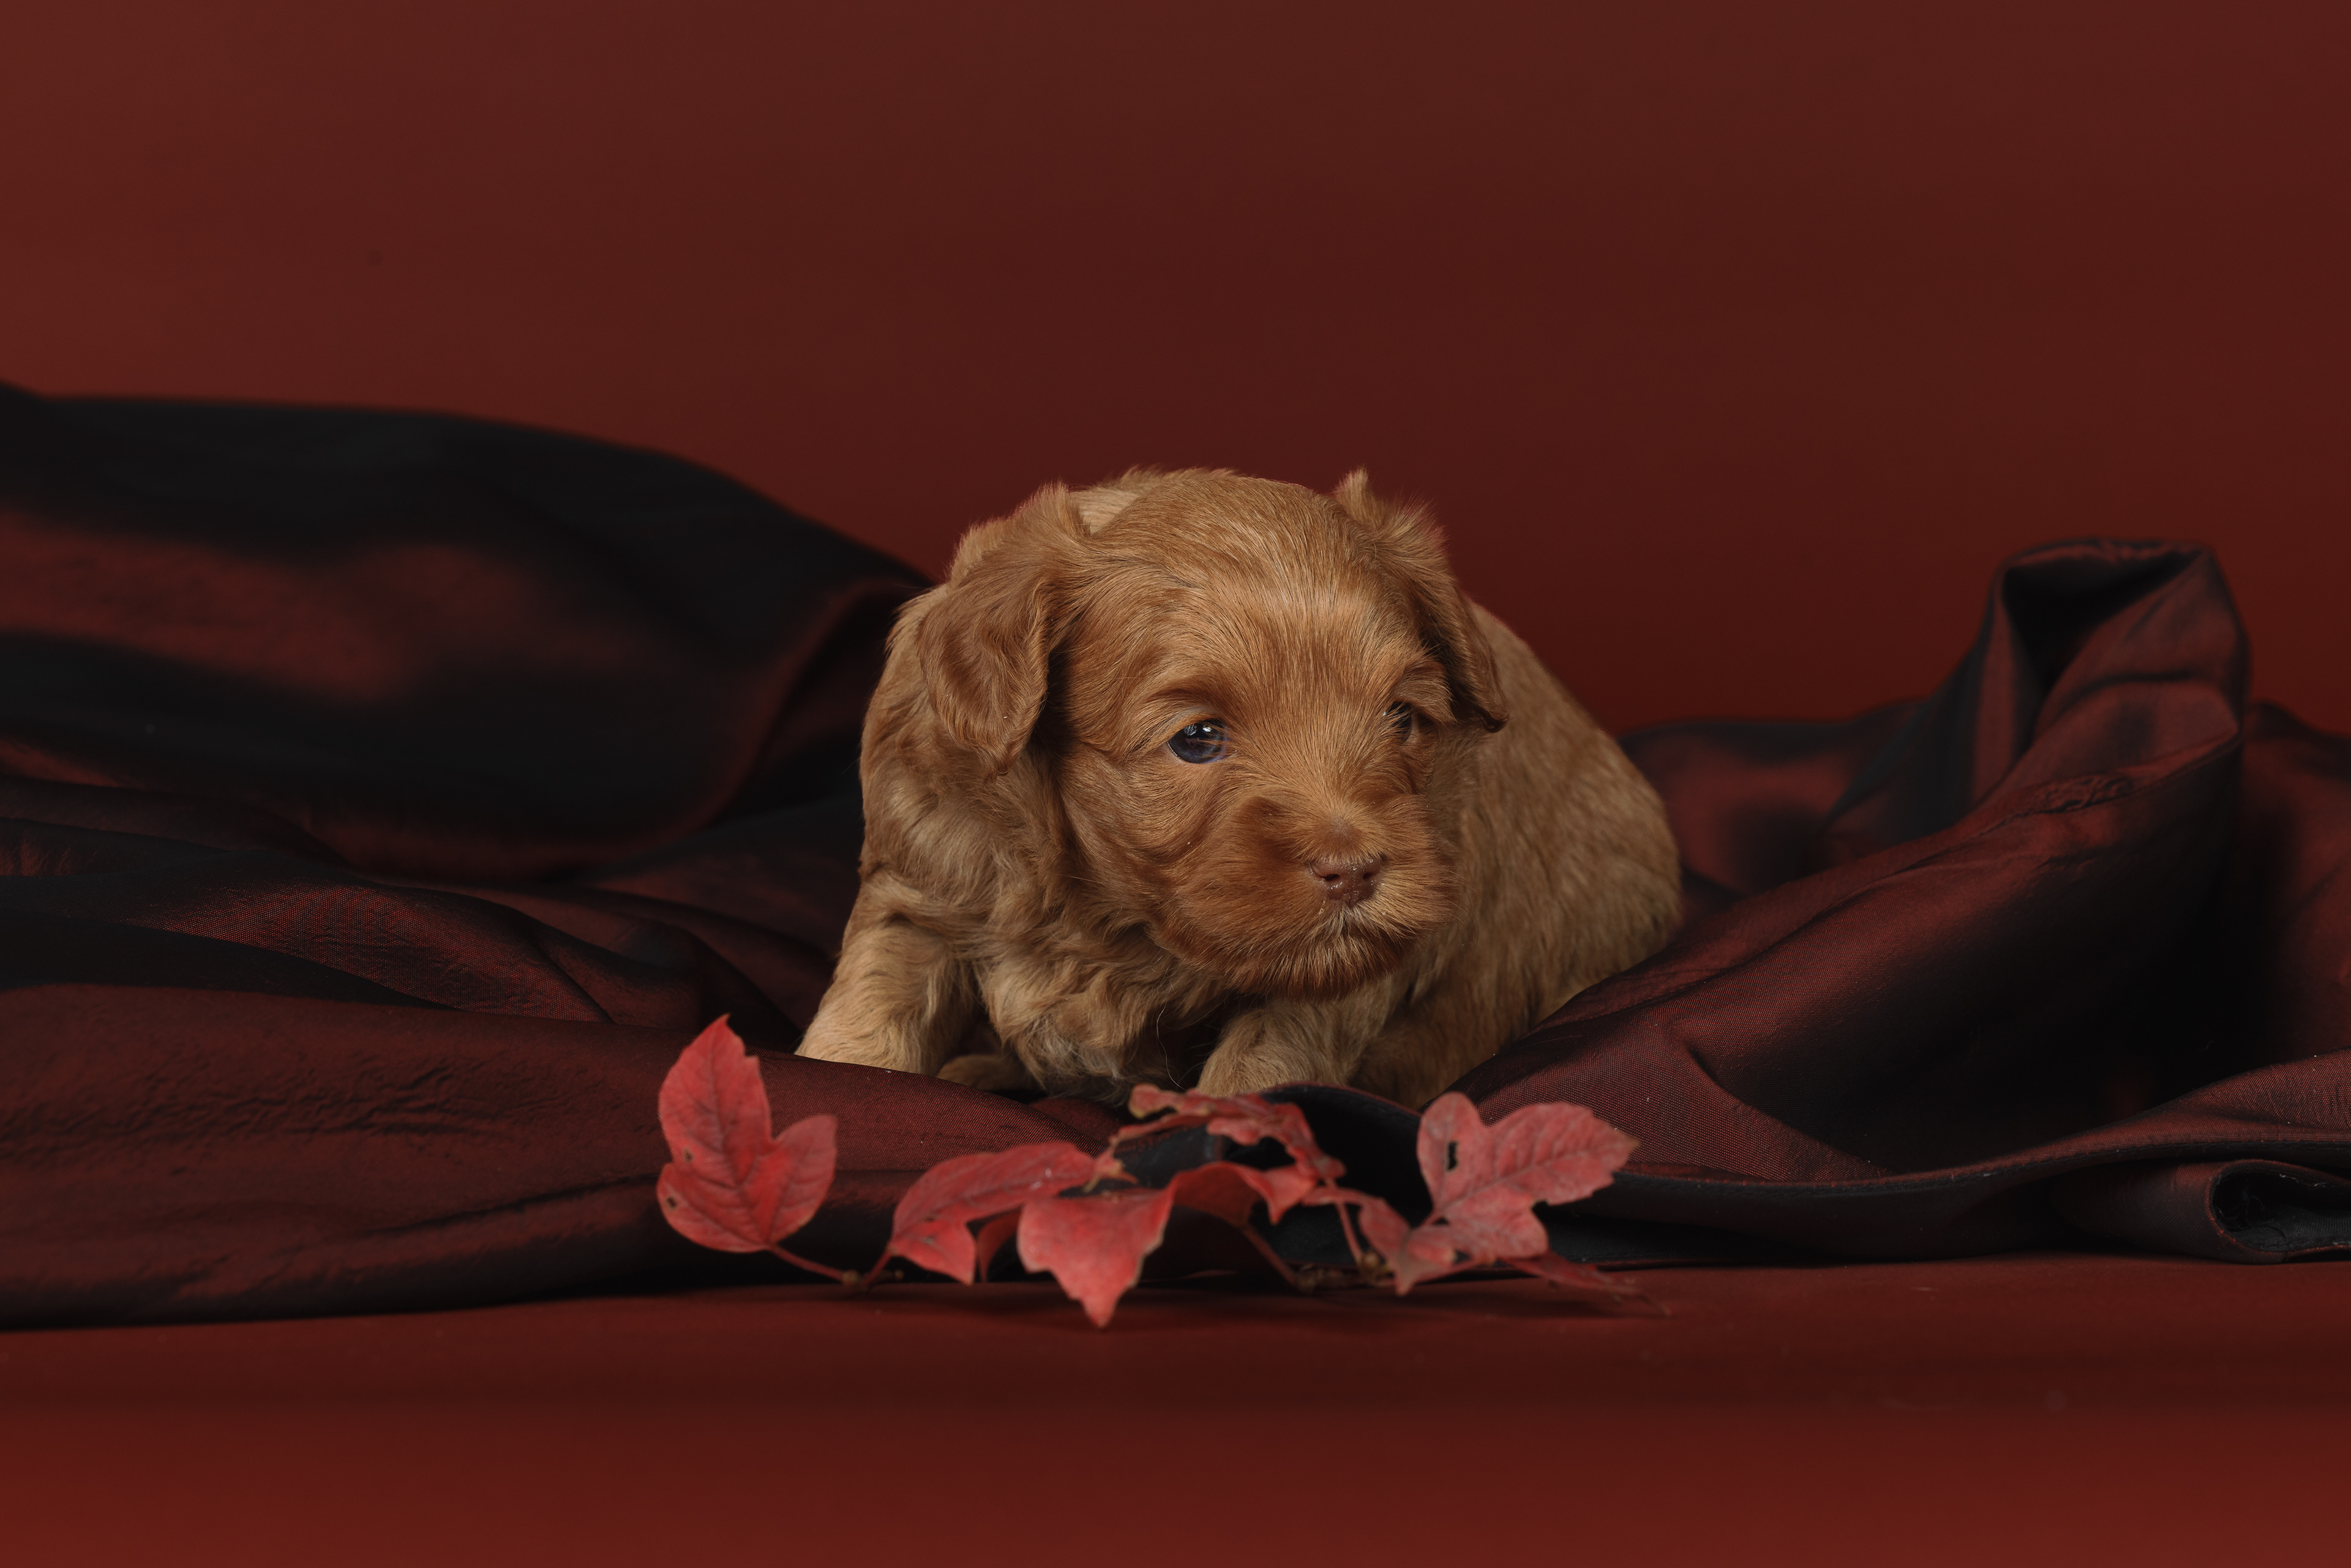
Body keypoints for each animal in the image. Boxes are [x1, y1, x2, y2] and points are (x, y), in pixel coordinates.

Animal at [794, 468, 1680, 1107]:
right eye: (1198, 739)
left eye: (1401, 717)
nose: (1357, 870)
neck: (1106, 916)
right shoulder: (920, 887)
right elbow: (868, 1019)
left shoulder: (1338, 977)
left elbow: (1262, 1067)